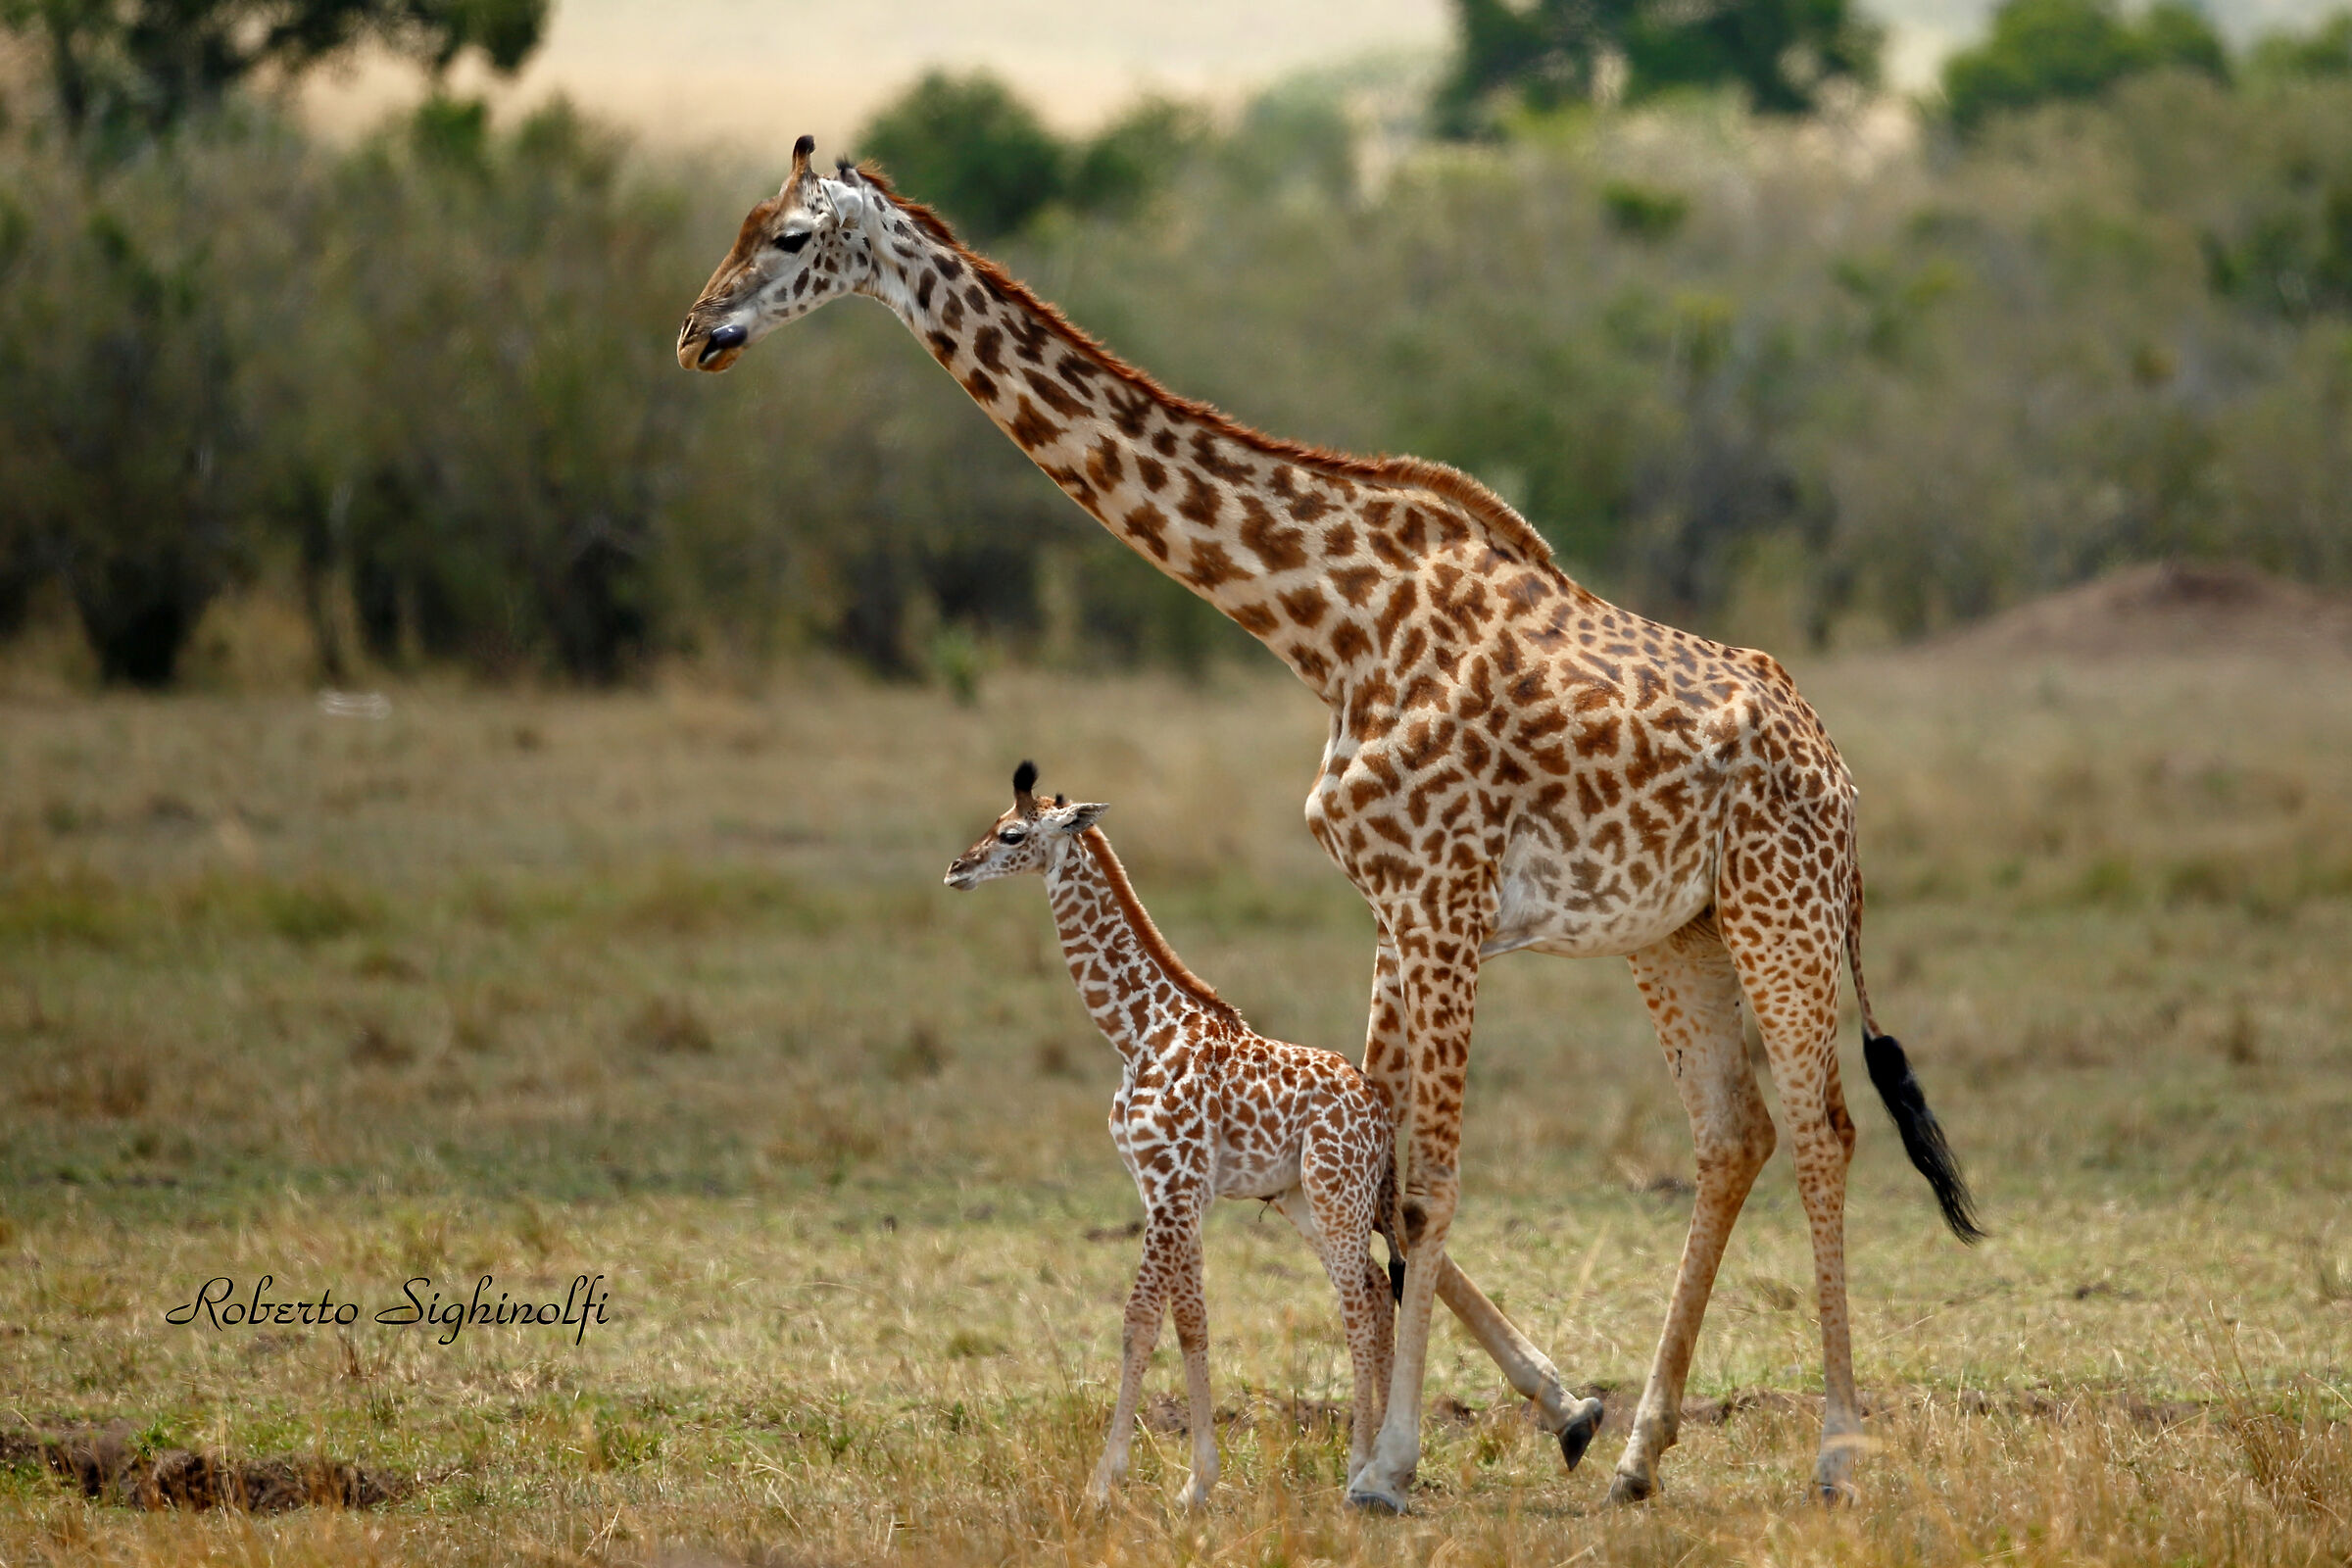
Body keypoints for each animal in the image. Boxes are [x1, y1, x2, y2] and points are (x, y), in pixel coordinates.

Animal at [945, 760, 1446, 1502]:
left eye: (1011, 833)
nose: (957, 868)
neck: (1139, 1032)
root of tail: (1380, 1111)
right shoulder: (1169, 1192)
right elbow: (1191, 1323)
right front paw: (1198, 1482)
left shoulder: (1174, 1187)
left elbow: (1139, 1323)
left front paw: (1105, 1483)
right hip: (1307, 1201)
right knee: (1377, 1295)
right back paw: (1373, 1463)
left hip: (1337, 1193)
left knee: (1360, 1306)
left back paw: (1361, 1470)